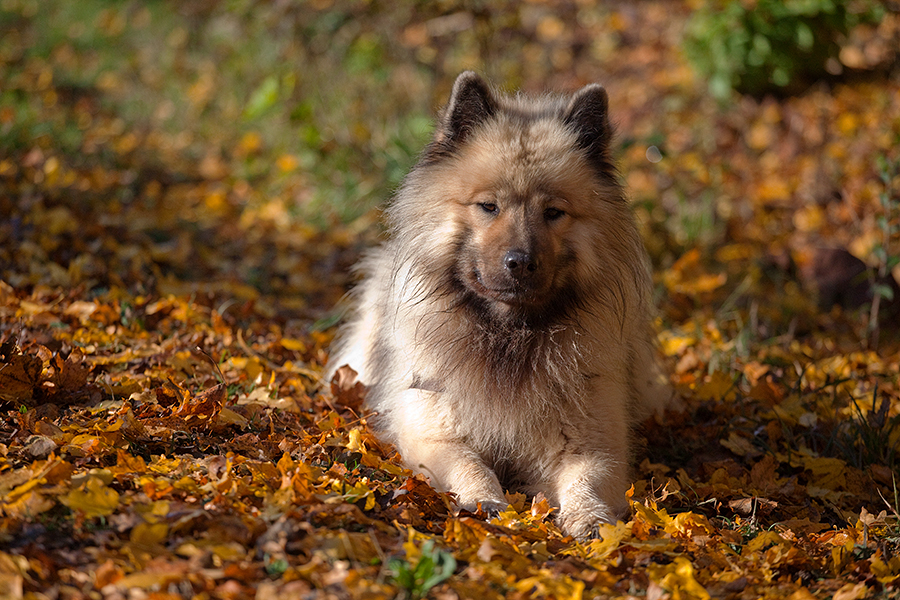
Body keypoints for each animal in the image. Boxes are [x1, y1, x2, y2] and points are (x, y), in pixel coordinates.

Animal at [326, 71, 672, 540]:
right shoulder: (434, 432)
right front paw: (485, 502)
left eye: (553, 212)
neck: (508, 336)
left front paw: (591, 519)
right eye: (489, 206)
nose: (520, 261)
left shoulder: (591, 438)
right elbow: (469, 466)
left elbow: (587, 478)